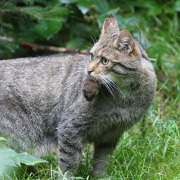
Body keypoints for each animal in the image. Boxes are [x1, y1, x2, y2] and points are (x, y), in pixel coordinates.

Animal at [0, 16, 156, 176]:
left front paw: (100, 177)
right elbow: (69, 162)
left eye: (104, 60)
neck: (125, 96)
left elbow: (102, 161)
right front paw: (67, 177)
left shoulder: (110, 134)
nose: (88, 70)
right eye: (91, 56)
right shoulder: (70, 128)